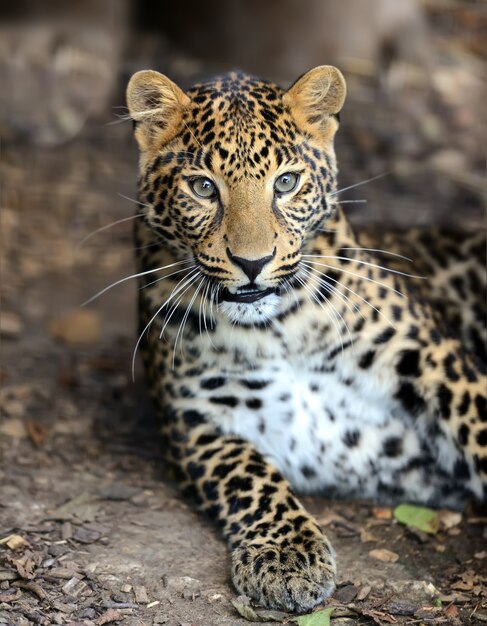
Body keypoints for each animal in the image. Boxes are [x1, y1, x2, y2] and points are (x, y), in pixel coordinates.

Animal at [126, 66, 487, 612]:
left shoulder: (432, 358)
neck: (279, 329)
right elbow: (247, 475)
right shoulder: (195, 419)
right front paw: (286, 557)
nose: (252, 263)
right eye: (203, 187)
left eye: (286, 182)